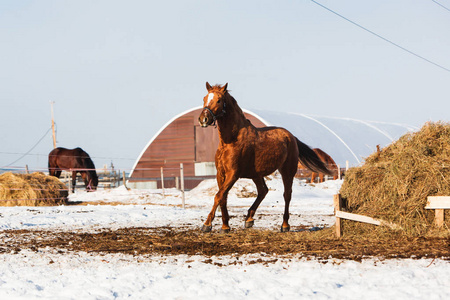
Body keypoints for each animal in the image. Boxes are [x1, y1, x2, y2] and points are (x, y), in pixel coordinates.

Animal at [199, 83, 332, 233]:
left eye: (219, 100)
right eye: (204, 98)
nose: (203, 119)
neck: (231, 140)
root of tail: (291, 136)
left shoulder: (233, 174)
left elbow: (219, 196)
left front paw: (207, 224)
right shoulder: (220, 173)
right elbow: (223, 197)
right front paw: (225, 226)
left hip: (287, 171)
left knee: (287, 195)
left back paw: (284, 225)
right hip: (256, 174)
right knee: (263, 191)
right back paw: (249, 219)